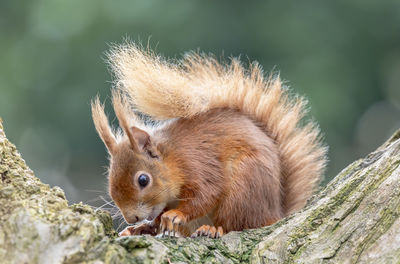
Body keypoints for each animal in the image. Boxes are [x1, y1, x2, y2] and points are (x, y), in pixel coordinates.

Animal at [92, 43, 326, 239]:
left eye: (143, 180)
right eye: (109, 179)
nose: (132, 217)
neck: (172, 157)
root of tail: (275, 212)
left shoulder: (199, 164)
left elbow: (207, 194)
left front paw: (176, 214)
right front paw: (146, 225)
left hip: (245, 186)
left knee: (236, 224)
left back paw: (213, 229)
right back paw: (142, 229)